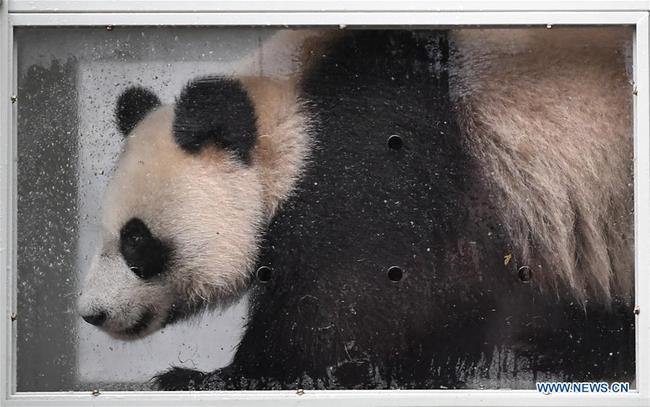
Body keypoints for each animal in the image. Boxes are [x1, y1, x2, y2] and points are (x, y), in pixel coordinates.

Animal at [77, 27, 632, 390]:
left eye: (136, 240)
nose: (91, 313)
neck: (288, 118)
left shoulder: (381, 163)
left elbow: (353, 306)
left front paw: (208, 376)